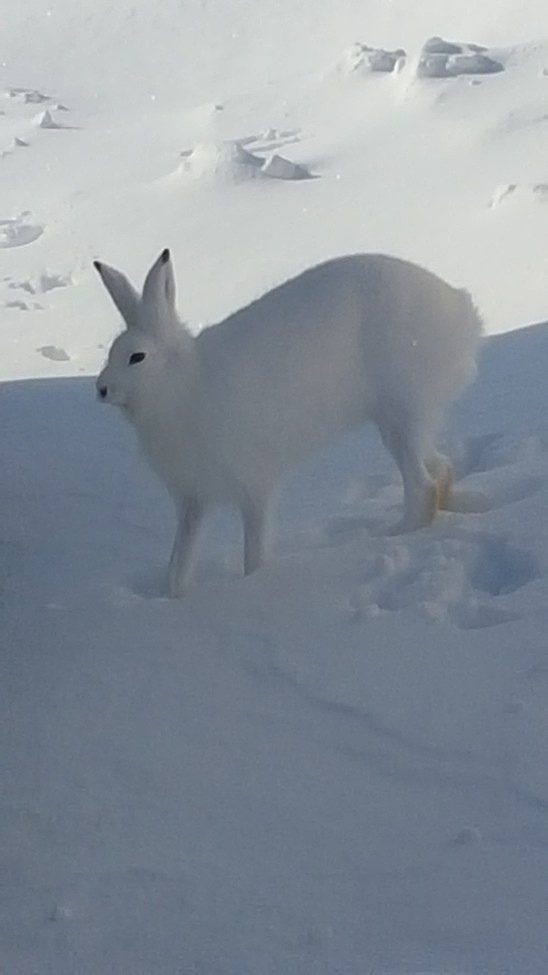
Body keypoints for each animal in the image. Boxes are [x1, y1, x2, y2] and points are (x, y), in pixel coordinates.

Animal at [95, 248, 482, 596]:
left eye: (137, 357)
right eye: (110, 353)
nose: (100, 389)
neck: (181, 383)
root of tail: (463, 314)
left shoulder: (253, 487)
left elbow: (253, 555)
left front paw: (254, 584)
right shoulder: (193, 500)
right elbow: (178, 565)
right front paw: (172, 597)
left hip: (399, 416)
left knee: (423, 487)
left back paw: (390, 535)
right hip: (404, 421)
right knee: (441, 466)